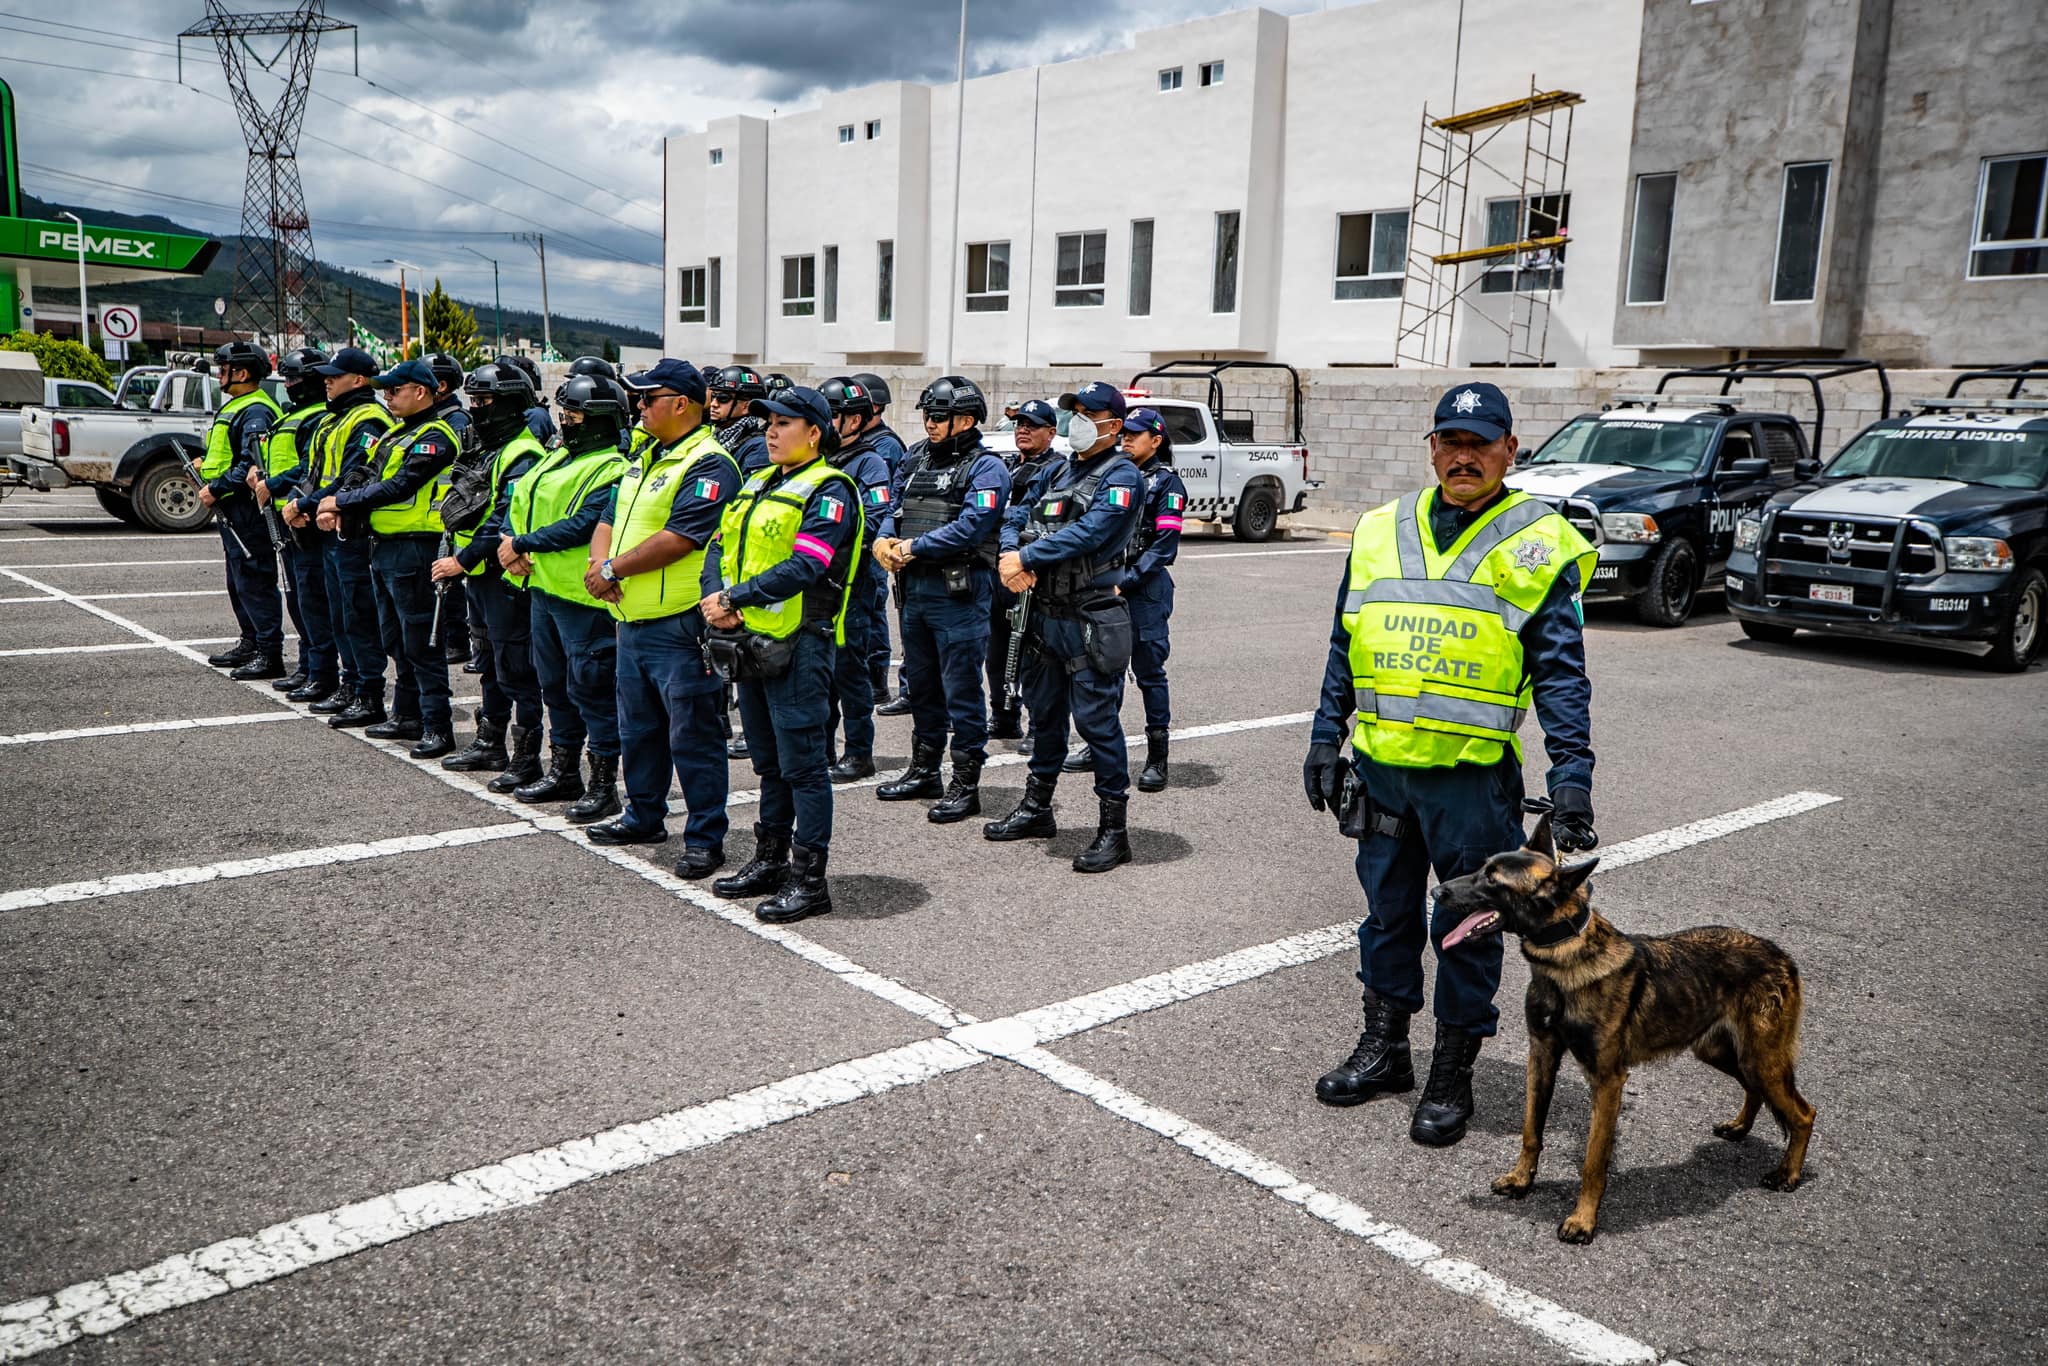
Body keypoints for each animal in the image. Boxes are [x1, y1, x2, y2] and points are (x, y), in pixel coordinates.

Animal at [1433, 819, 1818, 1245]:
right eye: (1482, 868)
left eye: (1493, 880)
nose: (1436, 891)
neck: (1564, 960)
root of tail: (1781, 955)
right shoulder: (1542, 1057)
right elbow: (1531, 1129)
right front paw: (1521, 1180)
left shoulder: (1607, 1081)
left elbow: (1593, 1160)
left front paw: (1583, 1220)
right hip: (1724, 1053)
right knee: (1754, 1089)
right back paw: (1740, 1127)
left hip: (1761, 1058)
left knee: (1804, 1113)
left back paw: (1788, 1174)